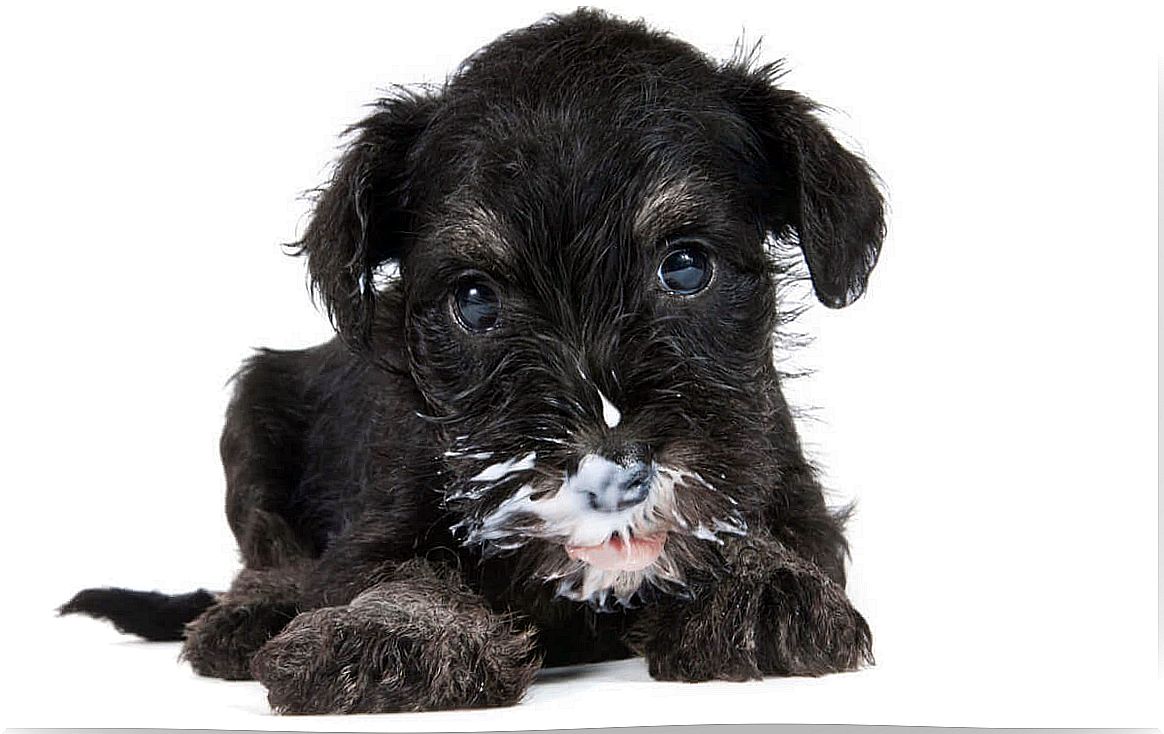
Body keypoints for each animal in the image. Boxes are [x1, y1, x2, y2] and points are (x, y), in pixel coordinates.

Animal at [61, 8, 879, 716]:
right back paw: (251, 613)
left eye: (685, 268)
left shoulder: (788, 488)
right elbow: (398, 571)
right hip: (255, 406)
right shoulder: (377, 522)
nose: (609, 472)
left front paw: (760, 586)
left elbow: (773, 535)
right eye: (475, 300)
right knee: (267, 546)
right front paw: (392, 631)